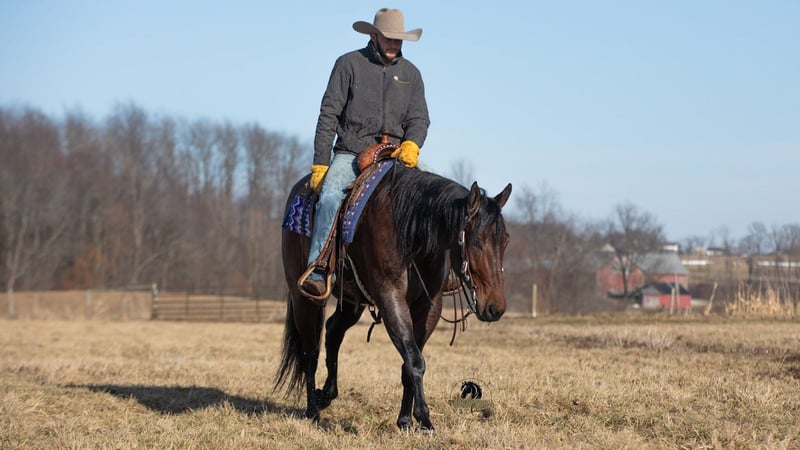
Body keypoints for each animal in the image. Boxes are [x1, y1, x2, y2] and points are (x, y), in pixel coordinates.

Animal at [274, 162, 512, 432]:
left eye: (505, 240)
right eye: (477, 240)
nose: (495, 307)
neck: (412, 233)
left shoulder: (429, 306)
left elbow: (409, 363)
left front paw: (406, 420)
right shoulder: (391, 299)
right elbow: (415, 360)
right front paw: (425, 419)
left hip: (351, 301)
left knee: (333, 332)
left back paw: (326, 395)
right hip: (303, 298)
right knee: (309, 352)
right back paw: (313, 410)